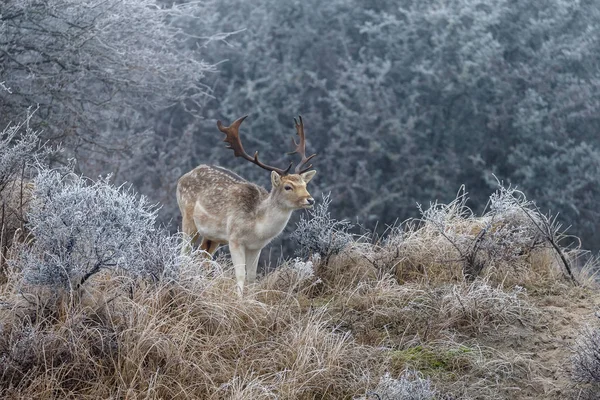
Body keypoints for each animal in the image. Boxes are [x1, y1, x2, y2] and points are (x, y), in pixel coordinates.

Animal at [177, 115, 318, 294]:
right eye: (288, 187)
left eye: (305, 185)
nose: (310, 200)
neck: (257, 228)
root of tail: (184, 176)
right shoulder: (235, 239)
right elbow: (240, 275)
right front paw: (239, 299)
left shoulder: (256, 247)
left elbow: (251, 277)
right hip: (188, 218)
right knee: (184, 253)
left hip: (212, 236)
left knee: (203, 256)